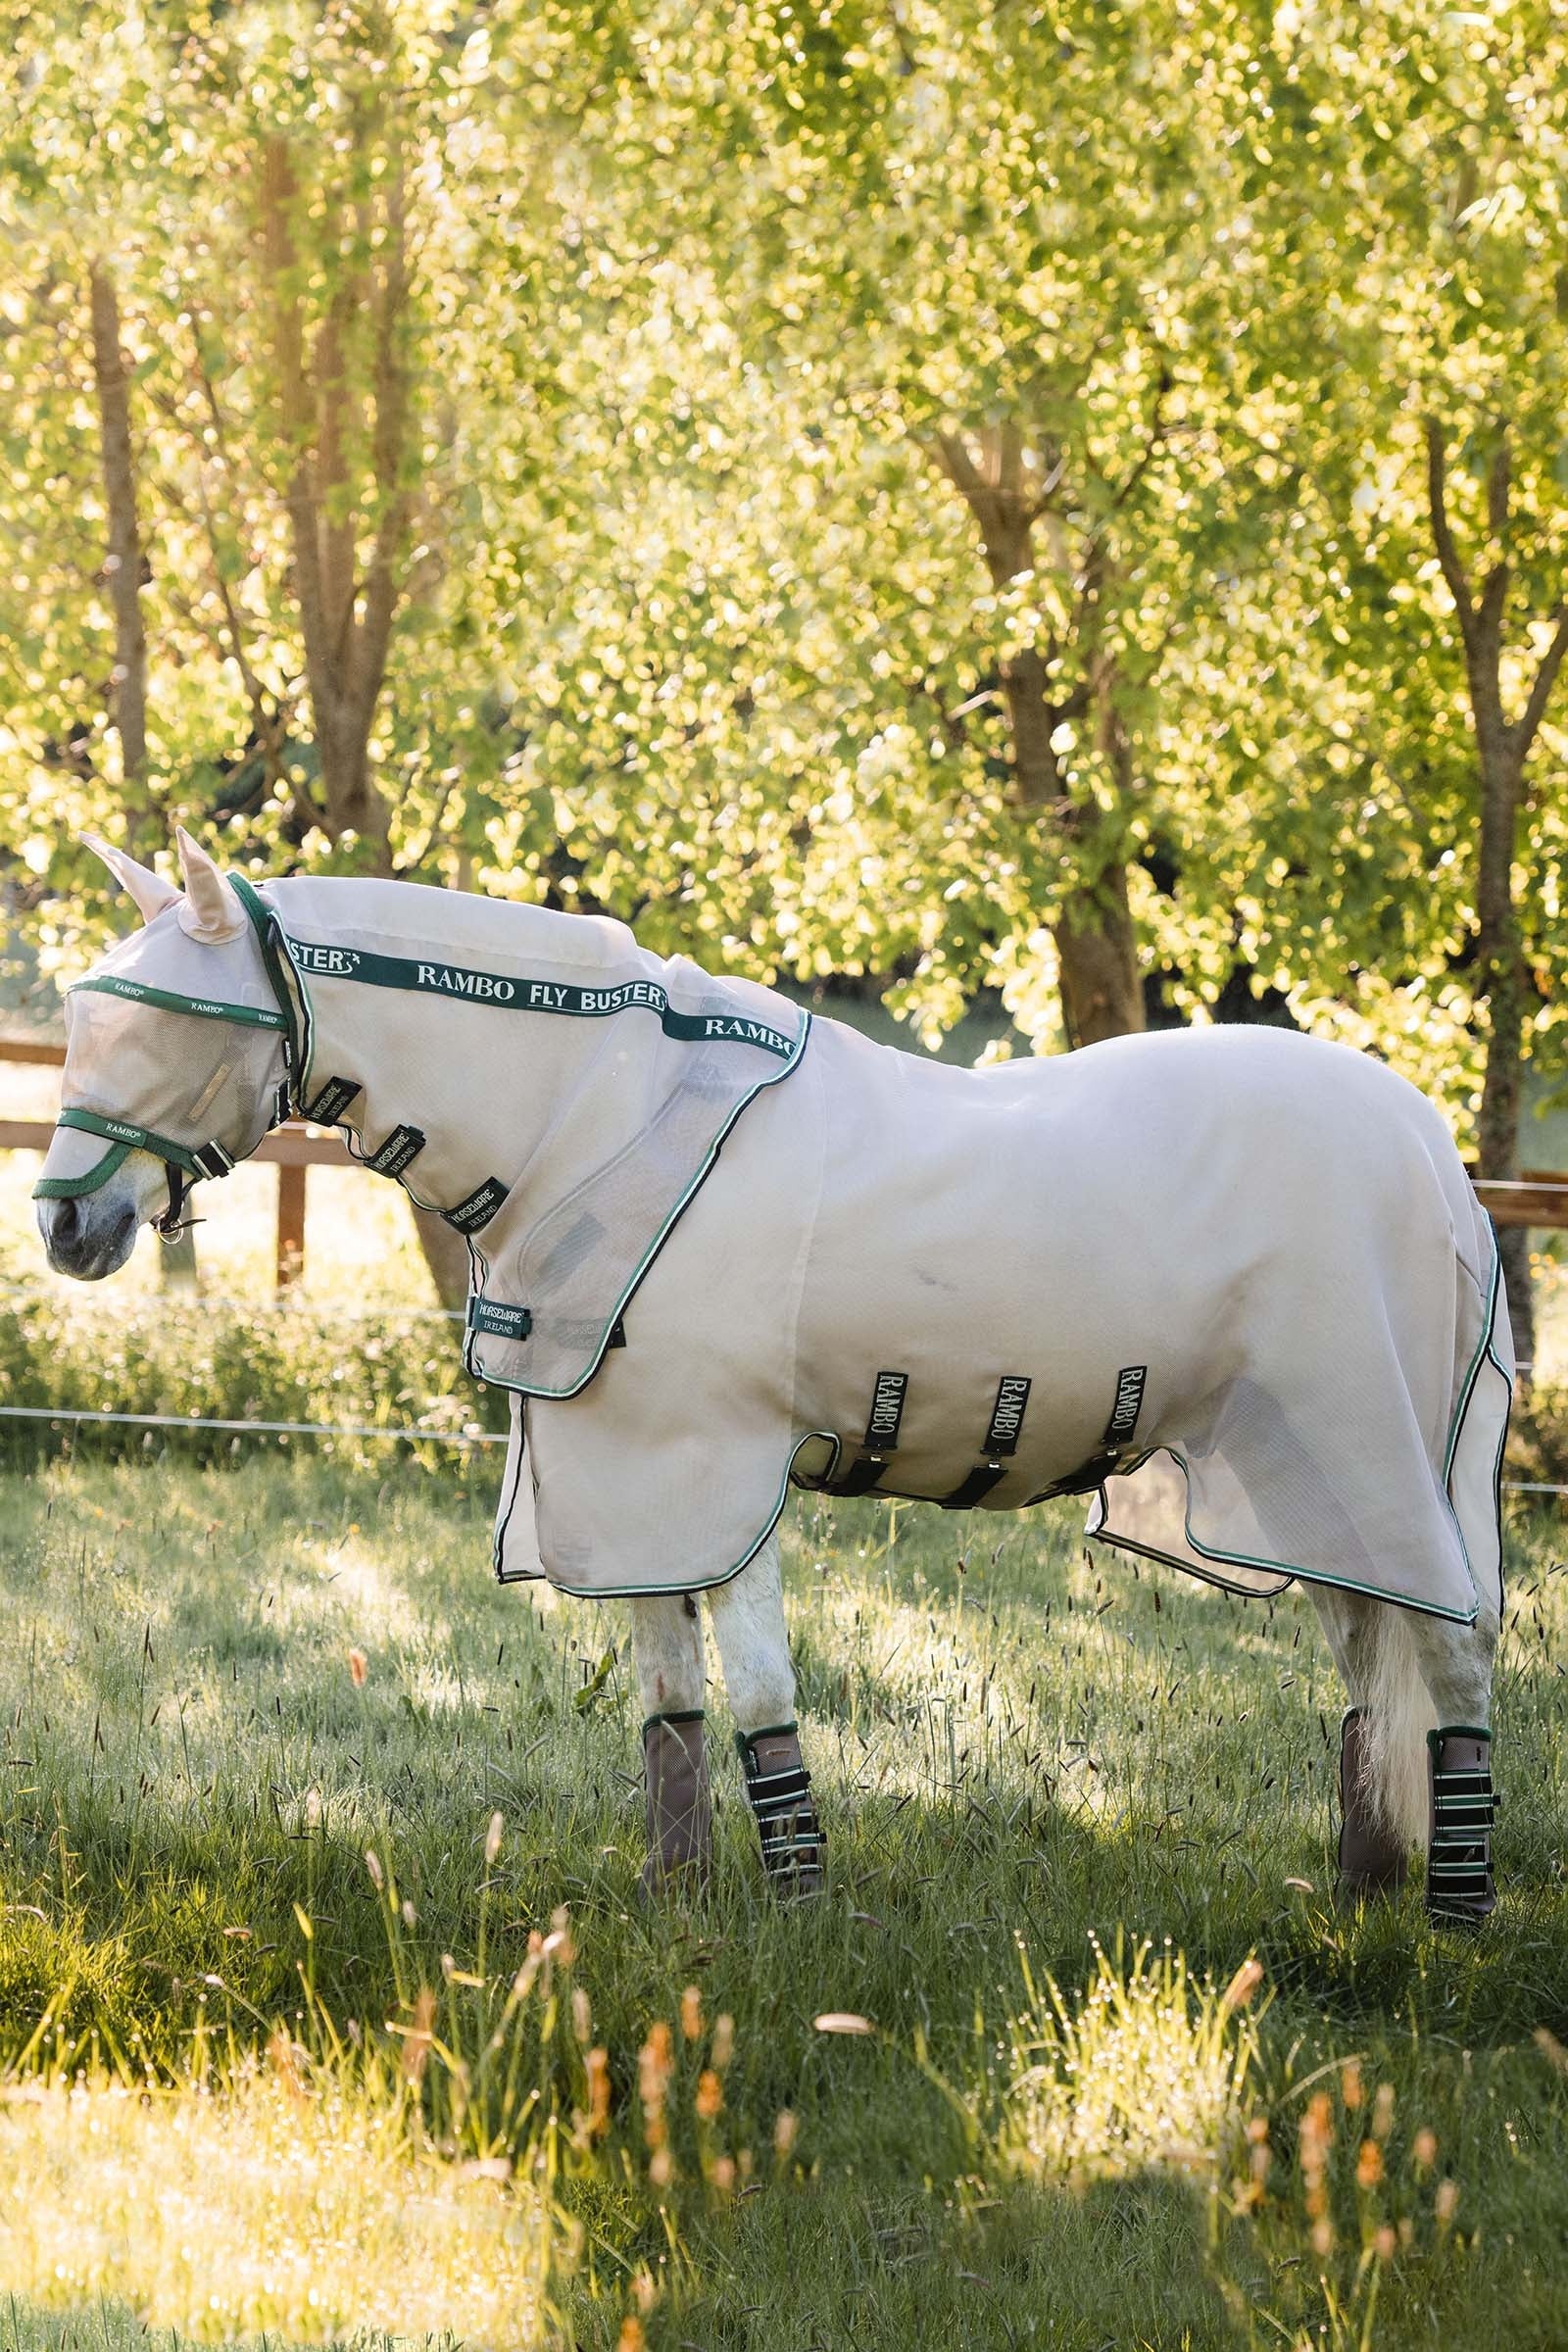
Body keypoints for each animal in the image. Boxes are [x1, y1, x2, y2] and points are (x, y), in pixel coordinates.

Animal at [35, 832, 1512, 1921]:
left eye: (174, 1026)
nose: (64, 1226)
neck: (606, 1120)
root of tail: (1431, 1153)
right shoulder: (625, 1479)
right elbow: (668, 1701)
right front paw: (679, 1895)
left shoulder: (716, 1467)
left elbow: (756, 1692)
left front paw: (799, 1906)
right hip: (1299, 1477)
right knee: (1370, 1662)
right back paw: (1366, 1887)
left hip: (1375, 1455)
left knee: (1452, 1656)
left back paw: (1452, 1915)